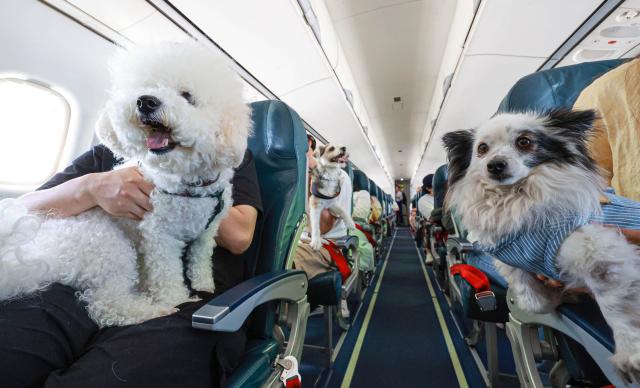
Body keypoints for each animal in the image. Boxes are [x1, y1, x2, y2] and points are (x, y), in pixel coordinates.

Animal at [0, 41, 252, 328]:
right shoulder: (159, 236)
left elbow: (200, 259)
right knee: (107, 305)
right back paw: (156, 309)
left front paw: (204, 284)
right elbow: (167, 275)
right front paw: (177, 298)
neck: (192, 186)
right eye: (147, 87)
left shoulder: (206, 232)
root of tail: (40, 254)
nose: (146, 101)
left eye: (187, 96)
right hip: (112, 248)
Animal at [444, 108, 640, 382]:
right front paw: (556, 298)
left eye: (524, 142)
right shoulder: (512, 261)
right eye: (482, 149)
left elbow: (617, 304)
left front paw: (630, 352)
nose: (495, 165)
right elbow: (532, 300)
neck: (514, 199)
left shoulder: (599, 252)